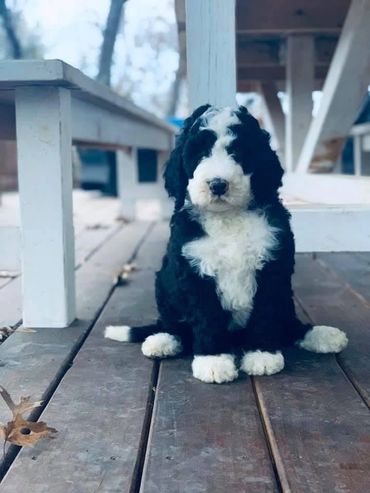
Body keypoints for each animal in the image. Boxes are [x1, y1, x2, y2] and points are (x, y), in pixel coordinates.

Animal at [105, 105, 348, 382]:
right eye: (200, 154)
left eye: (238, 152)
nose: (218, 184)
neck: (228, 218)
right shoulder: (195, 272)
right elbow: (207, 317)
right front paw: (214, 360)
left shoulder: (272, 268)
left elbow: (266, 312)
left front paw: (262, 354)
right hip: (165, 284)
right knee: (172, 323)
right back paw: (162, 340)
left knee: (288, 324)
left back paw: (322, 334)